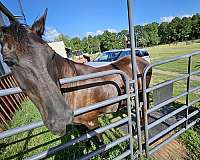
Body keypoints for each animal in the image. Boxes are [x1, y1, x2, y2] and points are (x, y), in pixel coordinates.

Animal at [0, 9, 151, 135]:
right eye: (8, 62)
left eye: (51, 53)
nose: (60, 118)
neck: (73, 88)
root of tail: (140, 59)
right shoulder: (81, 125)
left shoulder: (92, 122)